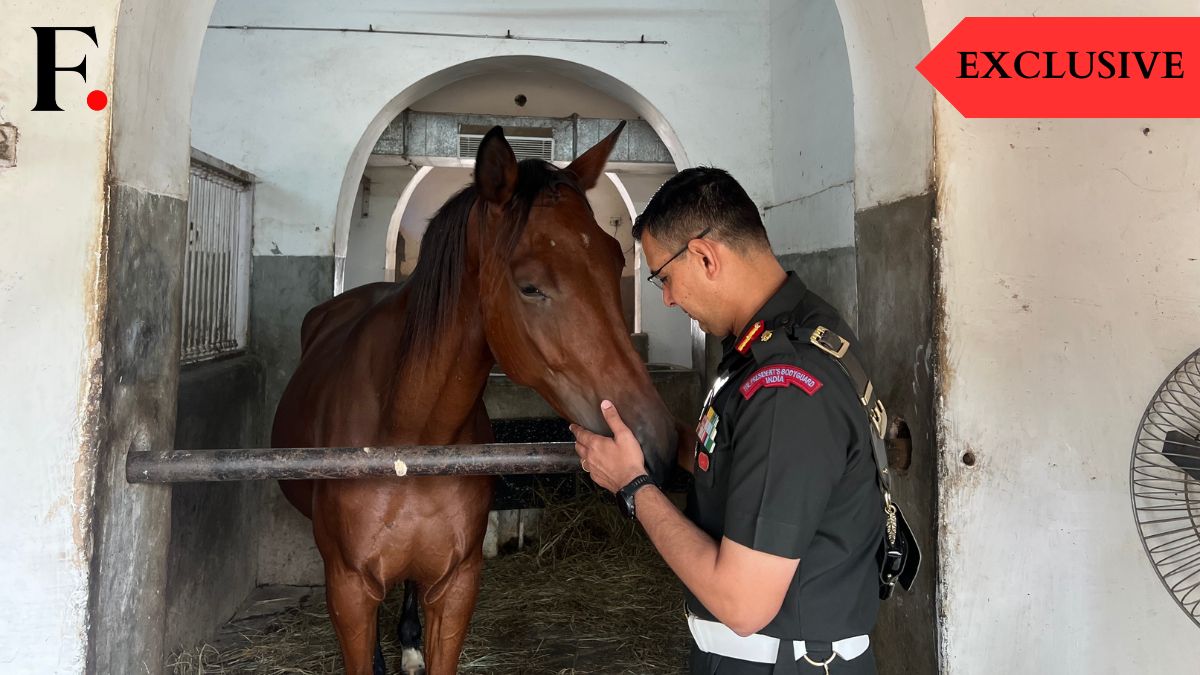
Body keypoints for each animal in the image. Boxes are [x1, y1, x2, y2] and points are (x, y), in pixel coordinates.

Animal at [270, 123, 682, 675]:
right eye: (530, 286)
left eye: (616, 260)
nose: (655, 440)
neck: (409, 434)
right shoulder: (349, 589)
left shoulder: (457, 586)